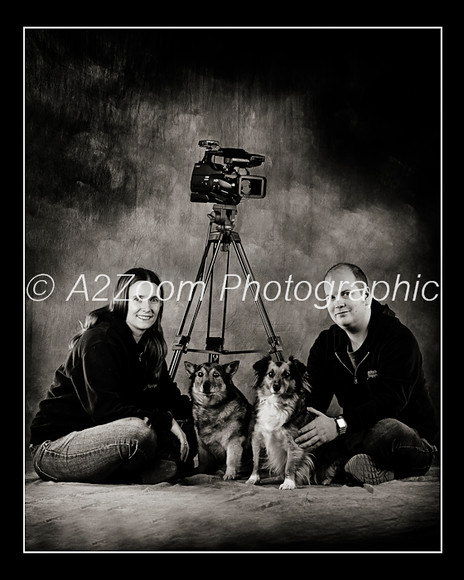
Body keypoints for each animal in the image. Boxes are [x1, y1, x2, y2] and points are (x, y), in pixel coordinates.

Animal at [246, 354, 316, 490]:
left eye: (287, 374)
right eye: (270, 374)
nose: (276, 387)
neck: (276, 403)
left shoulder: (293, 443)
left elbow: (290, 465)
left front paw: (289, 483)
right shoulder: (257, 436)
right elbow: (256, 461)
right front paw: (253, 478)